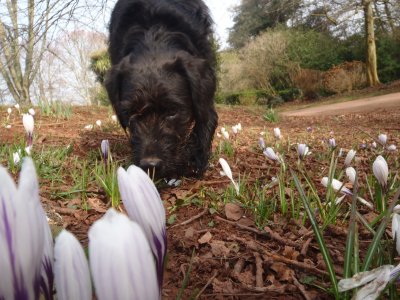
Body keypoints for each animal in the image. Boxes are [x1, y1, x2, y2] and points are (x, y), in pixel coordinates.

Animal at [105, 0, 219, 177]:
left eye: (172, 111)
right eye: (131, 112)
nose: (150, 165)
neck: (155, 35)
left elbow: (205, 116)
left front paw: (196, 157)